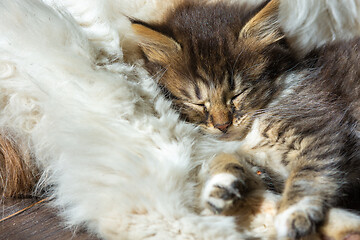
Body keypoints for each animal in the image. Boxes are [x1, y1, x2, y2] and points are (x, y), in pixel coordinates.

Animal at [131, 0, 360, 238]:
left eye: (237, 94)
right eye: (198, 103)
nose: (222, 125)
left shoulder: (321, 129)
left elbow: (307, 176)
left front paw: (293, 215)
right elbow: (224, 158)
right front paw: (220, 186)